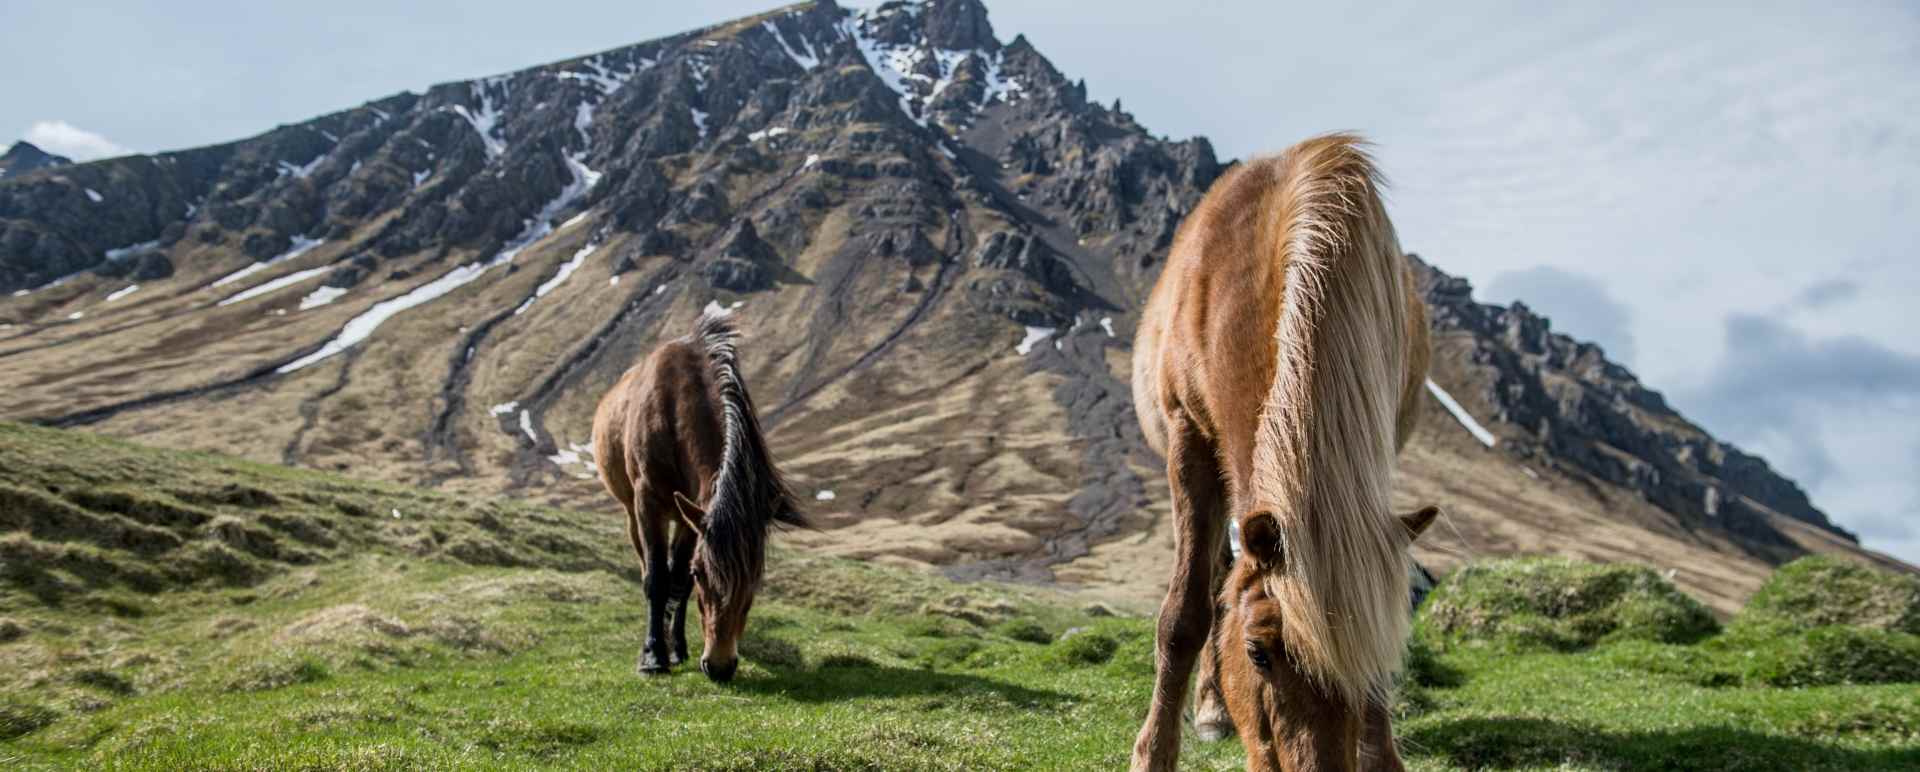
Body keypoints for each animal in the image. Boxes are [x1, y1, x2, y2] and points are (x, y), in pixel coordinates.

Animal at [591, 307, 803, 683]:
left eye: (755, 580)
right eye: (702, 574)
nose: (719, 666)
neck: (675, 409)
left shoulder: (694, 515)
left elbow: (678, 581)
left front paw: (674, 648)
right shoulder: (649, 503)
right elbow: (657, 579)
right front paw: (652, 656)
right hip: (634, 512)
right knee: (647, 567)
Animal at [1129, 134, 1439, 771]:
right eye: (1259, 652)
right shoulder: (1188, 438)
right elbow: (1184, 614)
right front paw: (1154, 753)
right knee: (1215, 579)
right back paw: (1210, 709)